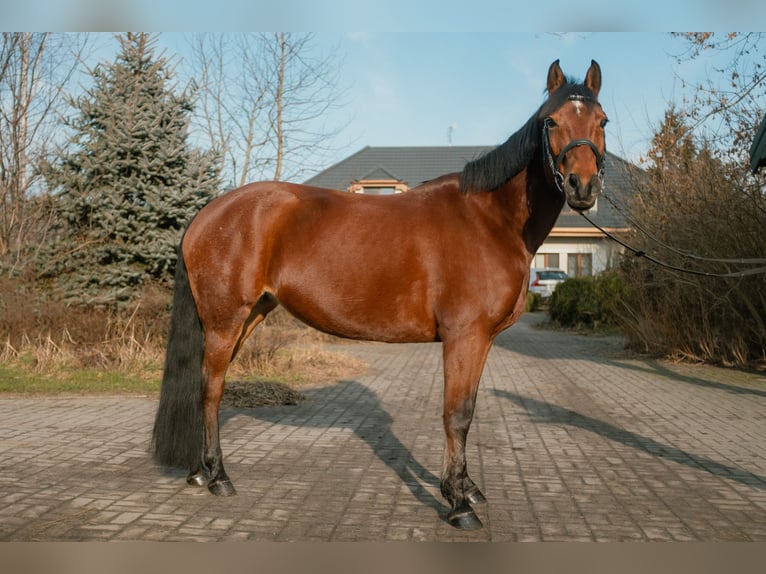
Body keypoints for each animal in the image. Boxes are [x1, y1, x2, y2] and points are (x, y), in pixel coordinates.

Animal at [150, 58, 608, 532]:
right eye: (550, 121)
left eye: (602, 121)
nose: (583, 186)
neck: (489, 219)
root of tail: (205, 214)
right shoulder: (464, 336)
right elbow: (457, 415)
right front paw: (457, 503)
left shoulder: (482, 340)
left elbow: (469, 408)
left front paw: (467, 489)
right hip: (226, 320)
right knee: (211, 390)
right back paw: (219, 477)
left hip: (248, 315)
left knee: (205, 386)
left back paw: (199, 472)